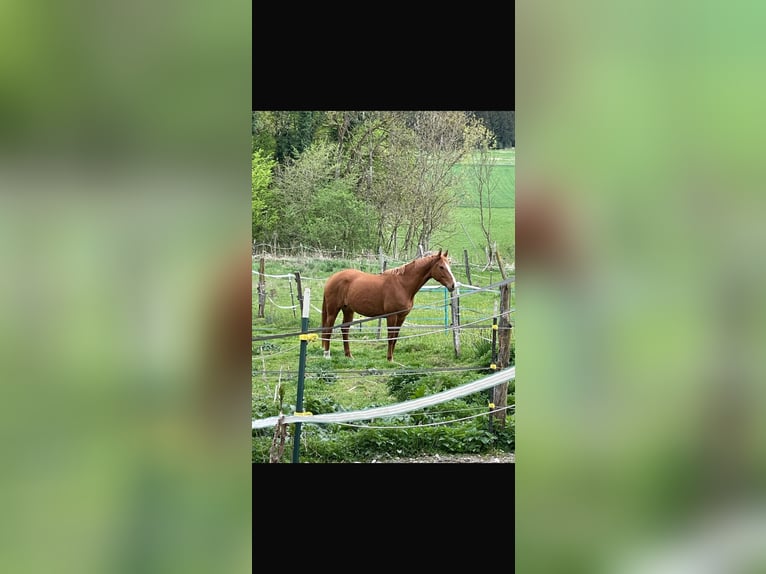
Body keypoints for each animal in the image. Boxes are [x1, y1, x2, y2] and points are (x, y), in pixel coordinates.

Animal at [321, 250, 457, 362]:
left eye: (449, 265)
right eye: (441, 267)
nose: (453, 285)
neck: (402, 285)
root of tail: (332, 278)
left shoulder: (401, 317)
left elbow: (395, 337)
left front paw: (392, 358)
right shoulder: (392, 316)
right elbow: (390, 336)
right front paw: (389, 359)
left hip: (348, 310)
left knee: (345, 329)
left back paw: (349, 355)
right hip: (333, 310)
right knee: (328, 329)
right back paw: (327, 355)